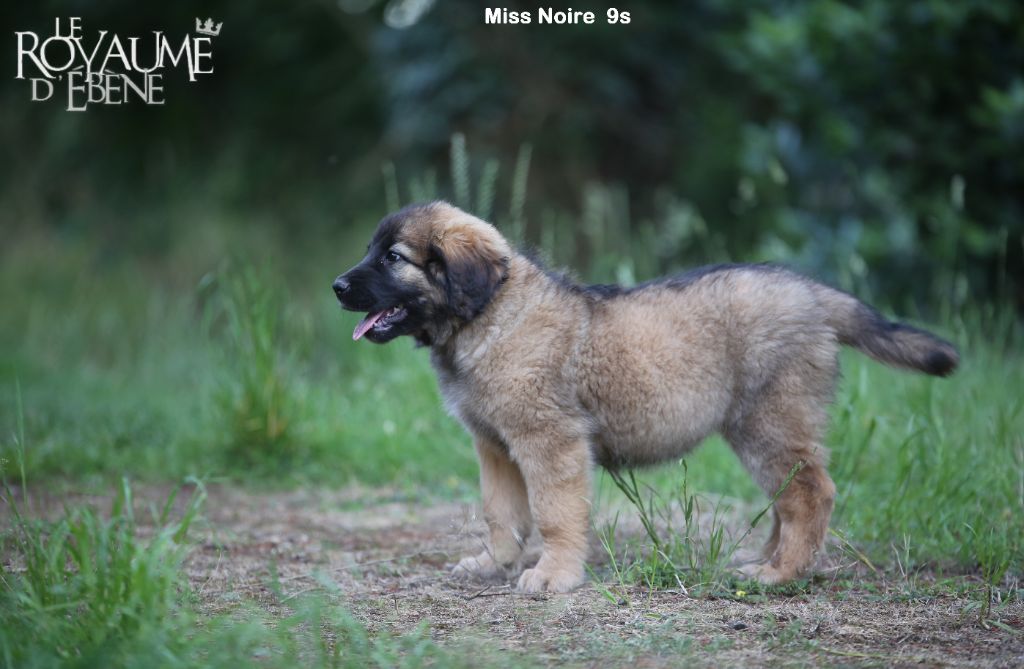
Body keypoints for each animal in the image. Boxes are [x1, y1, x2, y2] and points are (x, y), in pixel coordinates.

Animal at [332, 201, 958, 593]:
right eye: (370, 250)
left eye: (393, 258)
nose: (337, 286)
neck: (487, 315)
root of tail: (811, 292)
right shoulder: (495, 445)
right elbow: (500, 513)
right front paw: (495, 564)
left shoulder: (550, 441)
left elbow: (554, 513)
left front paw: (554, 576)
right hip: (761, 428)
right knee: (791, 496)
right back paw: (769, 561)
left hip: (770, 420)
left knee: (811, 493)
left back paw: (780, 576)